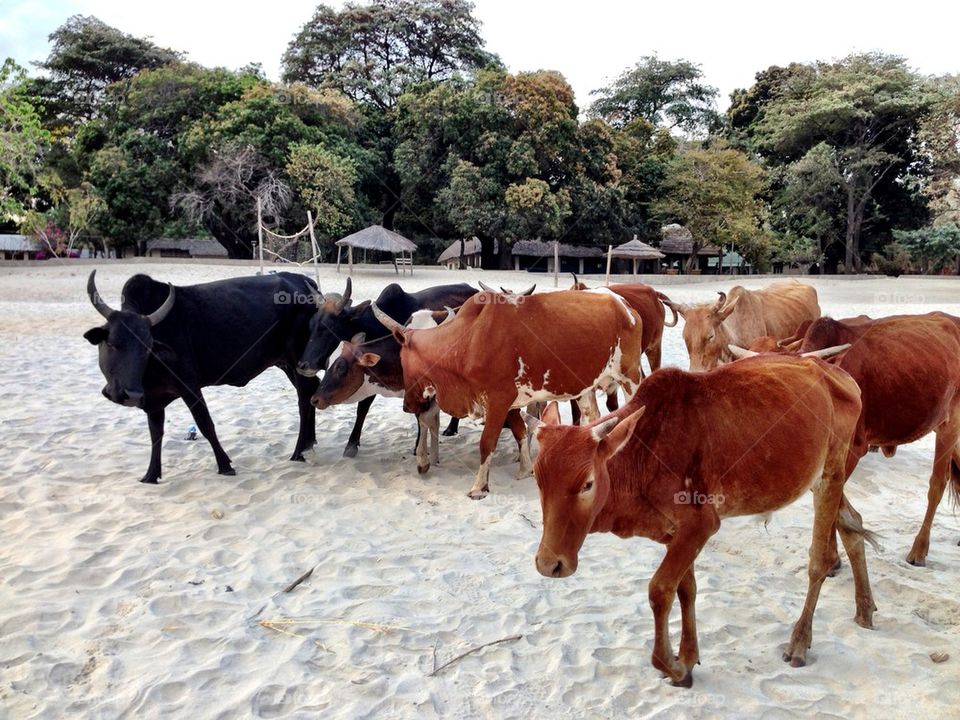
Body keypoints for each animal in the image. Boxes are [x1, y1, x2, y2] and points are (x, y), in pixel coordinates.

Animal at [83, 270, 319, 483]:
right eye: (111, 343)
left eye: (147, 347)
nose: (130, 395)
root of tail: (302, 280)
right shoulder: (152, 399)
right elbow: (155, 433)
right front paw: (151, 475)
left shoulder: (189, 385)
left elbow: (205, 423)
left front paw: (225, 465)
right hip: (287, 364)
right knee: (312, 391)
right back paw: (309, 442)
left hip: (297, 362)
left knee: (303, 400)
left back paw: (299, 451)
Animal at [372, 288, 644, 498]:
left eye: (402, 358)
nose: (407, 405)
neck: (466, 341)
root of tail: (626, 306)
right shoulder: (509, 403)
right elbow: (520, 432)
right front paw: (526, 469)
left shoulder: (498, 400)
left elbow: (487, 442)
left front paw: (479, 487)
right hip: (586, 386)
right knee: (594, 418)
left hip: (629, 377)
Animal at [528, 354, 877, 687]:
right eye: (538, 478)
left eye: (587, 483)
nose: (549, 564)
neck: (643, 452)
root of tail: (840, 376)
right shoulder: (675, 534)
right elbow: (687, 590)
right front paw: (688, 657)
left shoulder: (702, 525)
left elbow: (659, 591)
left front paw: (673, 666)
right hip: (822, 480)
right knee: (853, 526)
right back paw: (864, 609)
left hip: (832, 474)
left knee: (820, 561)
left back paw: (800, 642)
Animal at [798, 312, 960, 566]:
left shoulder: (853, 448)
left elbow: (830, 500)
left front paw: (829, 558)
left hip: (949, 423)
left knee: (937, 484)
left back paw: (918, 550)